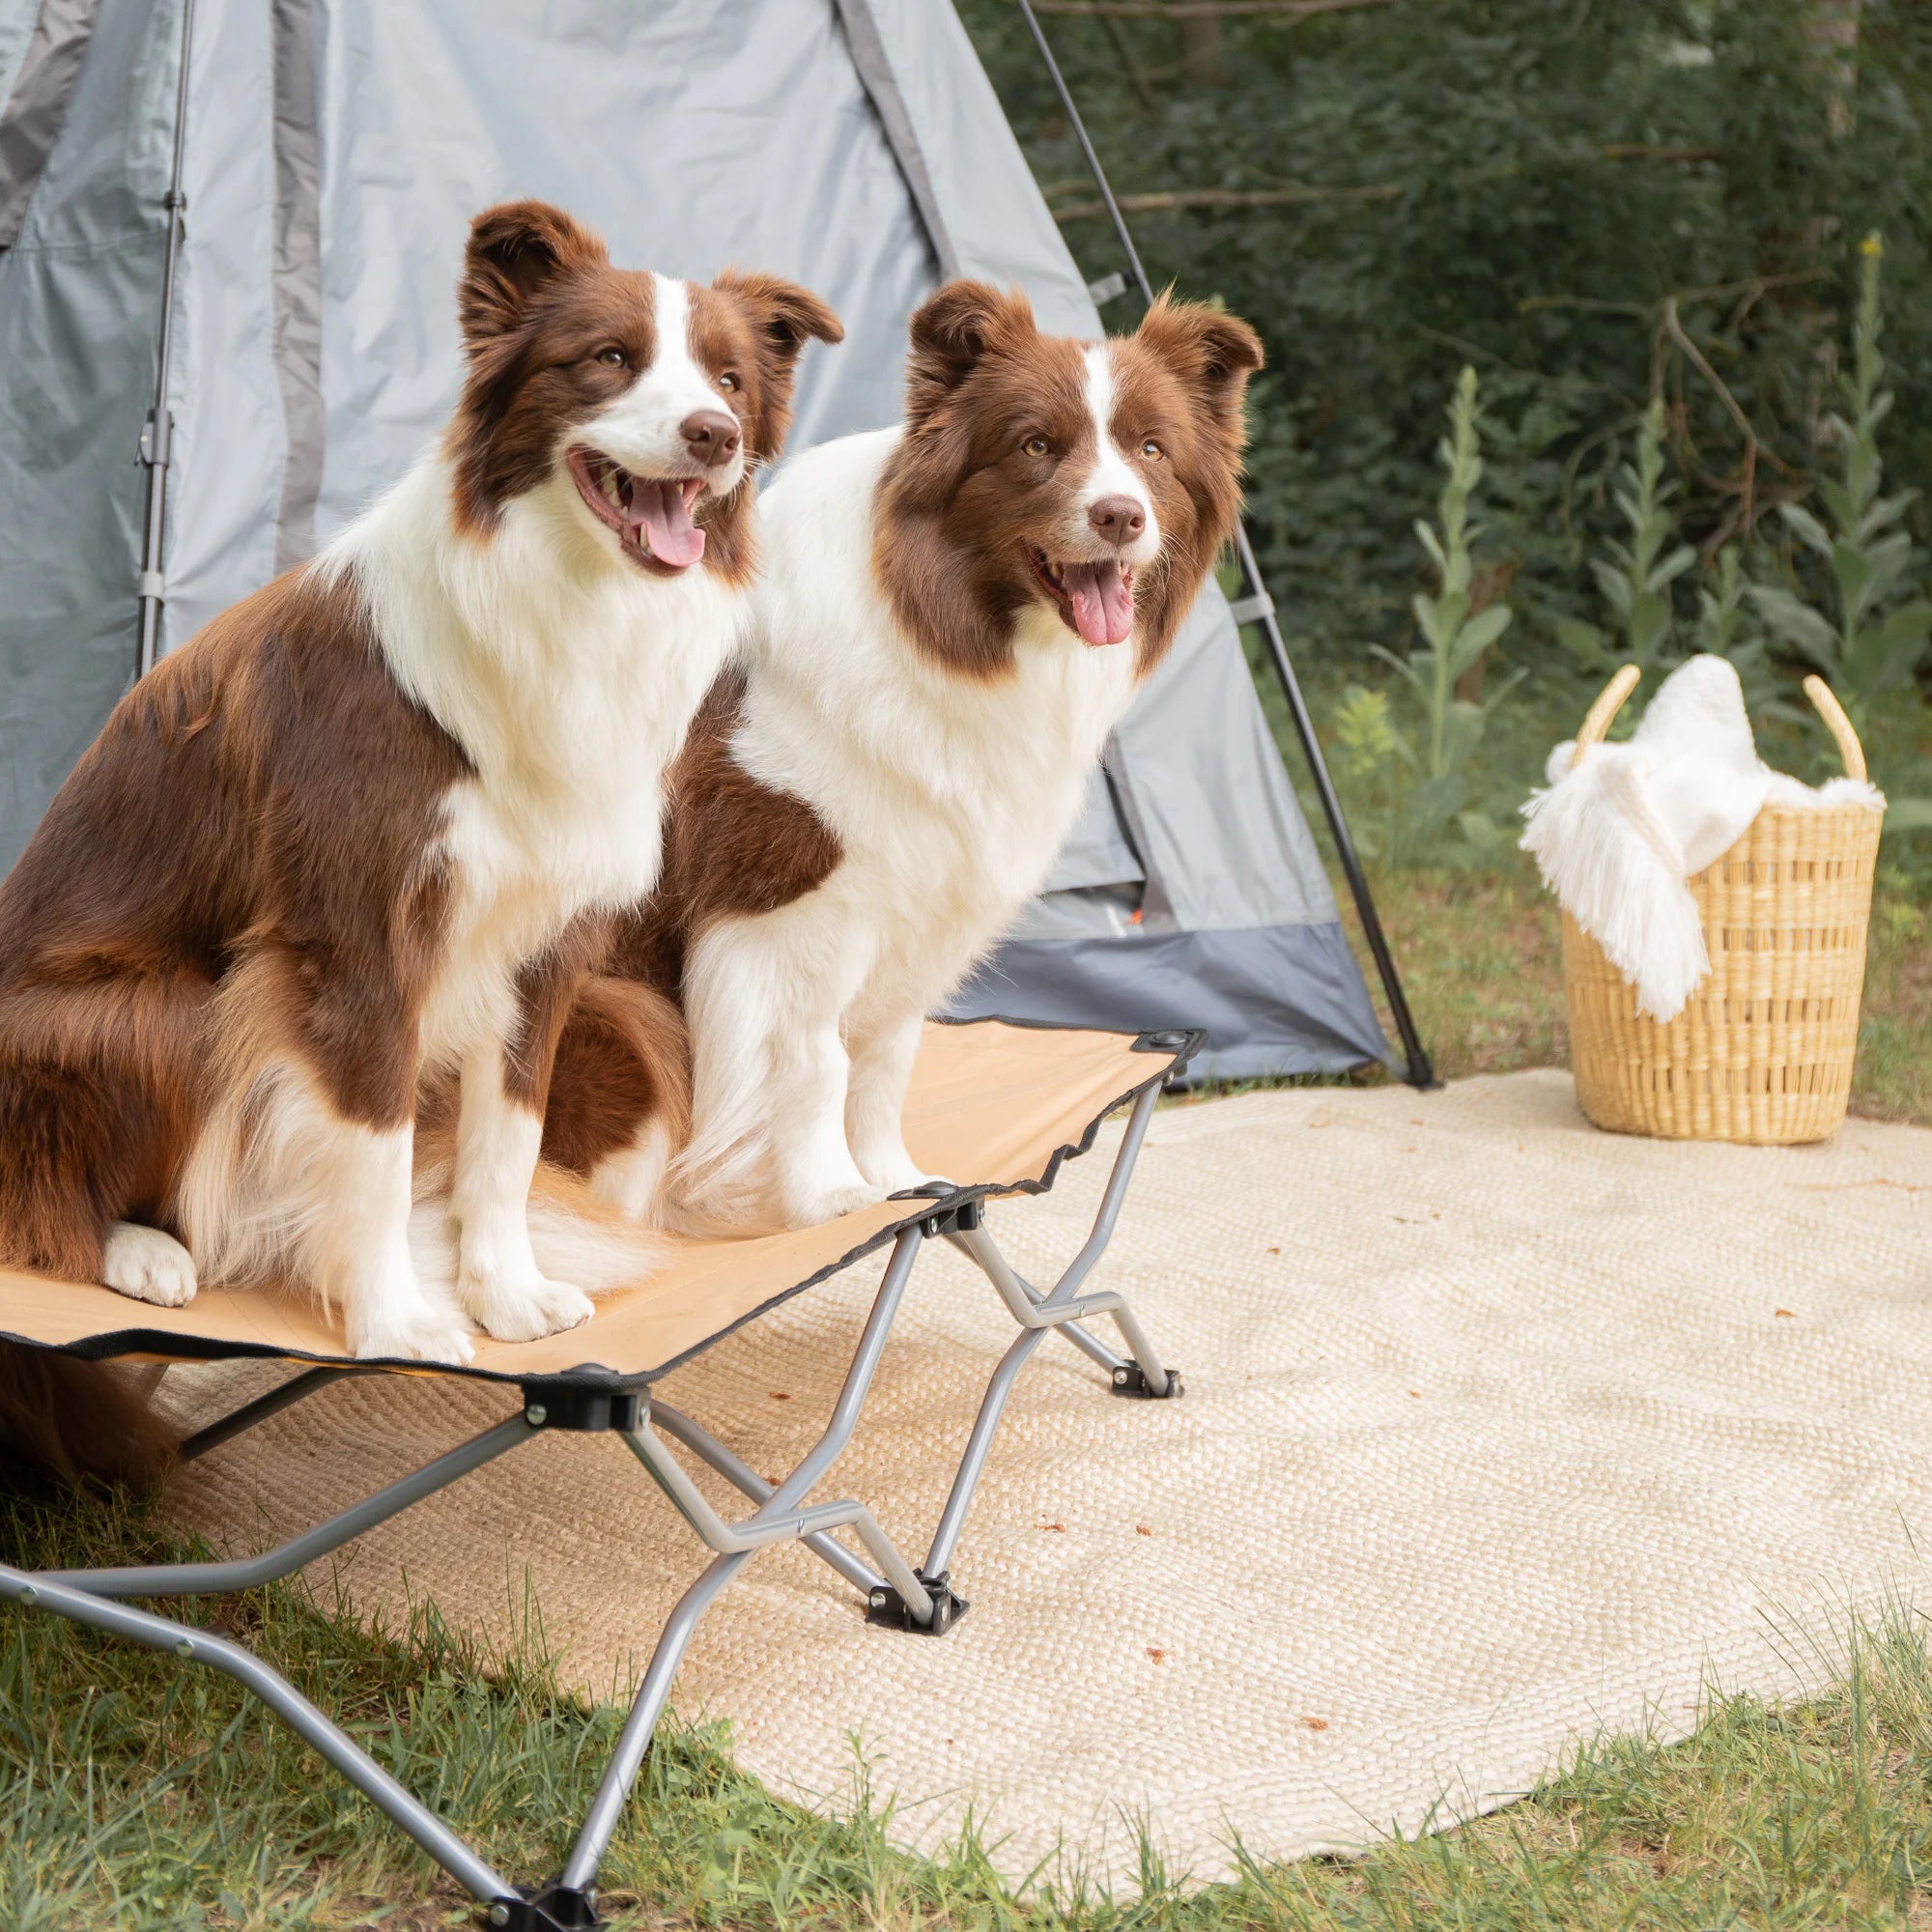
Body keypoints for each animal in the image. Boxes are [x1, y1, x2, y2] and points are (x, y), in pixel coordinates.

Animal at [1, 200, 846, 1437]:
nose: (712, 435)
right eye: (608, 359)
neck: (570, 601)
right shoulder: (355, 940)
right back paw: (144, 1252)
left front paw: (505, 1291)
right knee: (40, 1194)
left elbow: (507, 1141)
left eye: (731, 377)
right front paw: (392, 1316)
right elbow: (378, 1143)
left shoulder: (543, 940)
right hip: (164, 1009)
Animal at [553, 280, 1260, 1229]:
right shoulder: (783, 908)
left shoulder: (921, 894)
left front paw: (897, 1184)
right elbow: (815, 1062)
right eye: (1035, 445)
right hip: (620, 1008)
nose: (1120, 516)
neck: (938, 620)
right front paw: (827, 1197)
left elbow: (884, 1064)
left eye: (1152, 450)